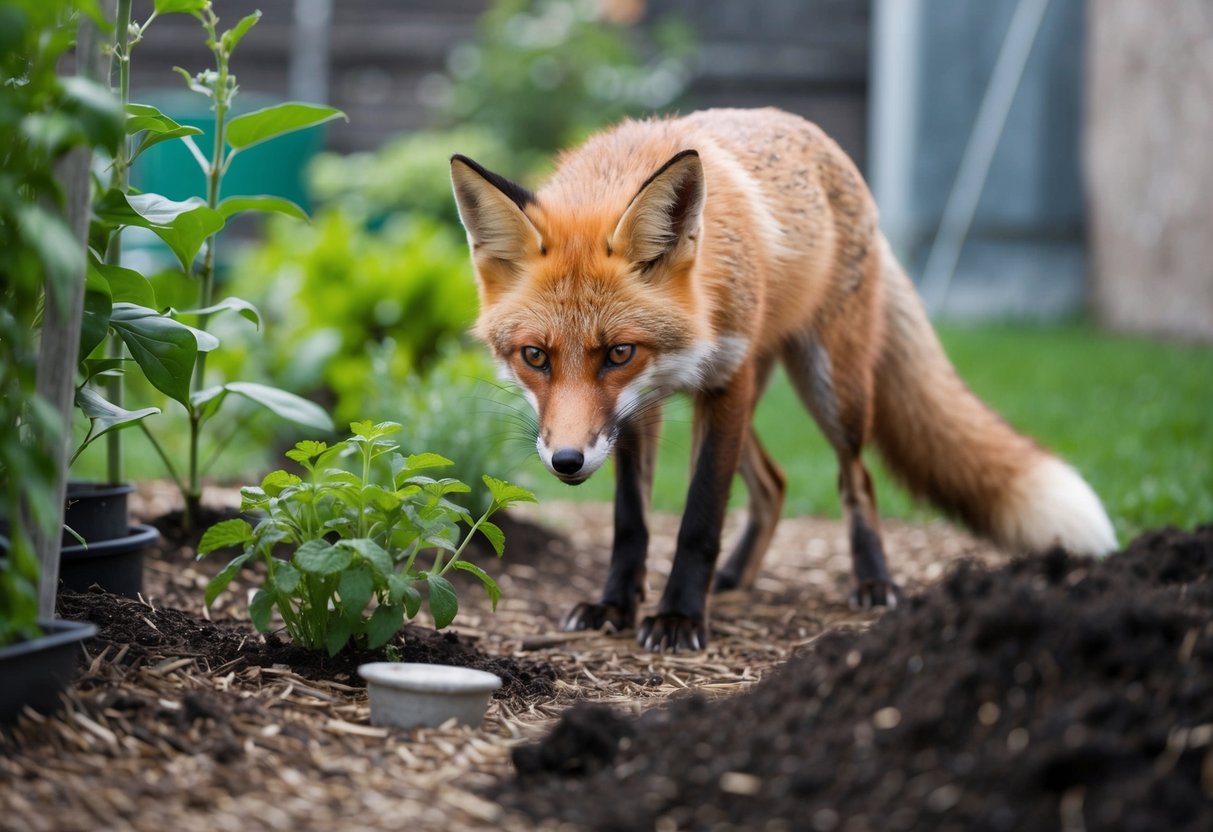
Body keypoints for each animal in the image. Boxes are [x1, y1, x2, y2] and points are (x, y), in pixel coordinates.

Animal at [449, 107, 1117, 652]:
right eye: (535, 357)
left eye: (618, 353)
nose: (566, 460)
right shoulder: (638, 413)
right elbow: (631, 521)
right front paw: (615, 605)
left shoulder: (724, 381)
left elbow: (699, 519)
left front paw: (679, 617)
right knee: (773, 484)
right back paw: (734, 578)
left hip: (831, 389)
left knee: (858, 481)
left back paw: (873, 581)